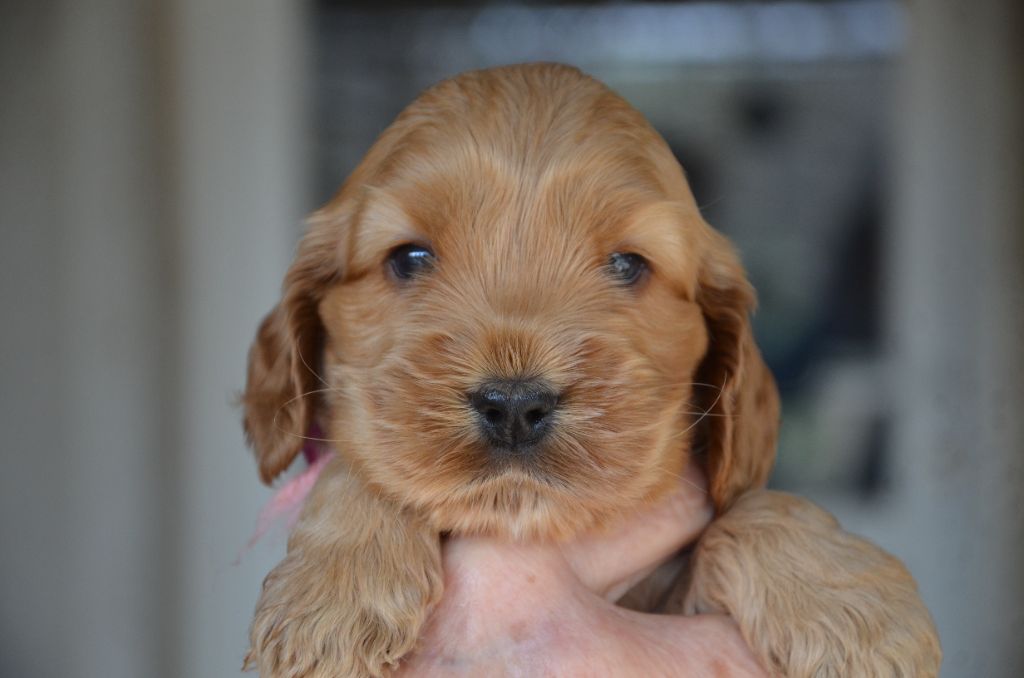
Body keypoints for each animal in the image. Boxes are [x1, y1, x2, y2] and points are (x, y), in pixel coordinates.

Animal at [237, 63, 937, 678]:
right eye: (408, 259)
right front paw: (332, 595)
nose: (513, 404)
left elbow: (753, 508)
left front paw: (856, 611)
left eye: (628, 265)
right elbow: (357, 468)